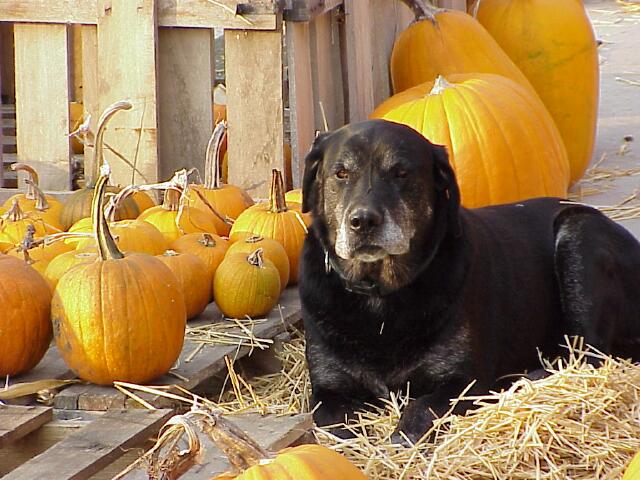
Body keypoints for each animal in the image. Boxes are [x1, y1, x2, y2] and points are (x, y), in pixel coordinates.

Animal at [300, 119, 640, 442]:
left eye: (401, 173)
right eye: (341, 173)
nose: (363, 221)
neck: (381, 296)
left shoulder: (462, 382)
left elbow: (420, 407)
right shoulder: (327, 392)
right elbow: (338, 425)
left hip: (578, 233)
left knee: (591, 356)